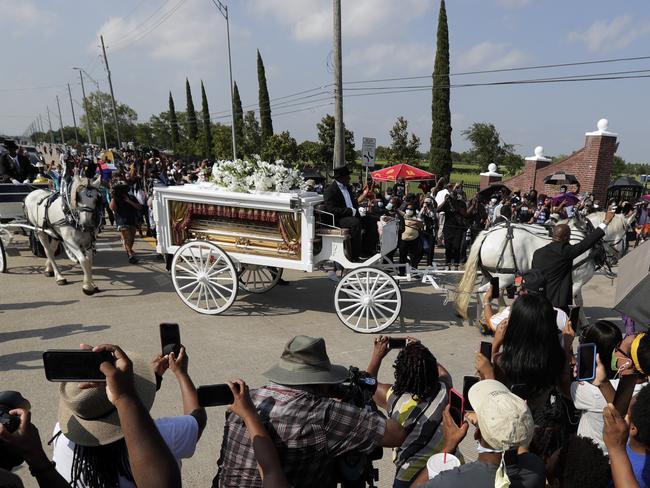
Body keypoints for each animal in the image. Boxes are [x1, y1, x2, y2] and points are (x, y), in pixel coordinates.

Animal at [454, 213, 632, 320]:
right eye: (627, 233)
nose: (622, 255)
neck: (585, 236)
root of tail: (487, 233)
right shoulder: (576, 282)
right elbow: (571, 303)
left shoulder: (576, 281)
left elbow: (579, 302)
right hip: (505, 277)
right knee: (484, 293)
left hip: (491, 274)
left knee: (486, 292)